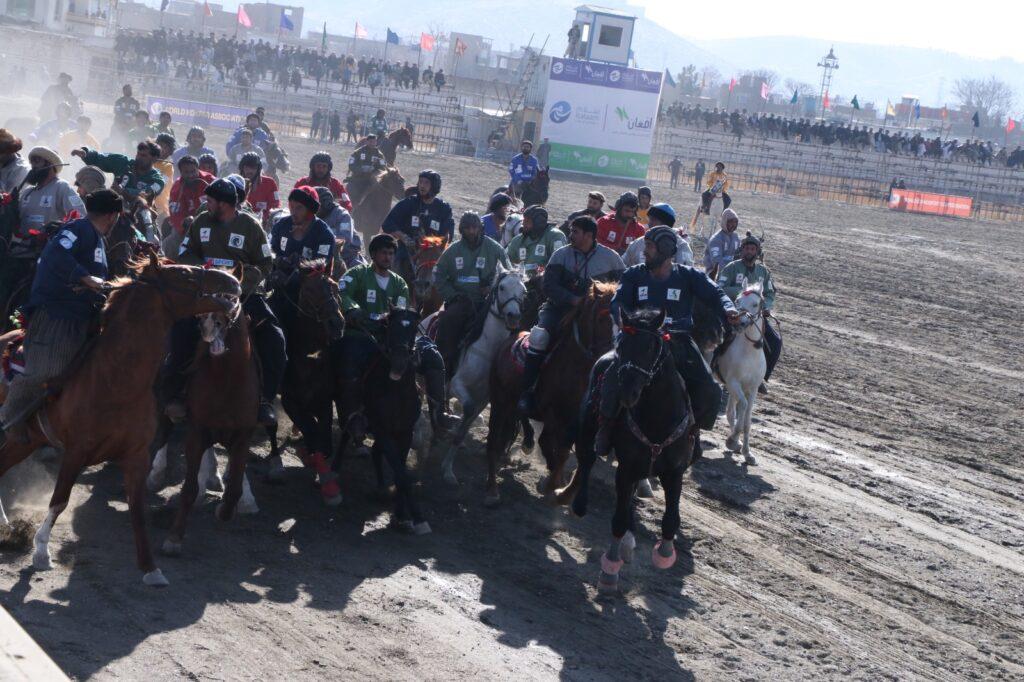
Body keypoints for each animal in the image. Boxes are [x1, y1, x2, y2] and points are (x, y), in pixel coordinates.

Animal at [0, 254, 239, 585]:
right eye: (184, 273)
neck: (115, 378)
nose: (233, 280)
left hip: (28, 439)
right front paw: (41, 552)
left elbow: (137, 509)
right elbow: (59, 500)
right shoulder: (76, 452)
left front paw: (151, 568)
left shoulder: (136, 455)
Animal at [440, 266, 524, 483]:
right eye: (502, 287)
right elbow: (467, 408)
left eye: (524, 290)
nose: (513, 316)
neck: (486, 348)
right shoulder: (457, 384)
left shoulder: (484, 399)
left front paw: (448, 469)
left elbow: (466, 425)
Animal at [485, 278, 614, 503]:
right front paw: (552, 484)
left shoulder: (578, 422)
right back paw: (492, 489)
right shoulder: (553, 415)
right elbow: (554, 447)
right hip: (500, 401)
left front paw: (559, 486)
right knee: (494, 439)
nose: (612, 354)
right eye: (601, 317)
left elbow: (574, 454)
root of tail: (509, 341)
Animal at [561, 307, 696, 589]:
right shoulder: (626, 469)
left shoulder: (674, 471)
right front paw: (610, 569)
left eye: (652, 346)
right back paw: (578, 503)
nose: (627, 392)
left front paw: (664, 554)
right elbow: (619, 520)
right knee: (586, 460)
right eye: (622, 344)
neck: (657, 421)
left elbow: (671, 519)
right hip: (588, 428)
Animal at [716, 280, 765, 462]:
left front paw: (746, 451)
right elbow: (741, 408)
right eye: (737, 301)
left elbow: (747, 419)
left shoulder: (752, 388)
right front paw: (732, 439)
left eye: (755, 304)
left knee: (731, 411)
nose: (740, 323)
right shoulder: (733, 382)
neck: (749, 352)